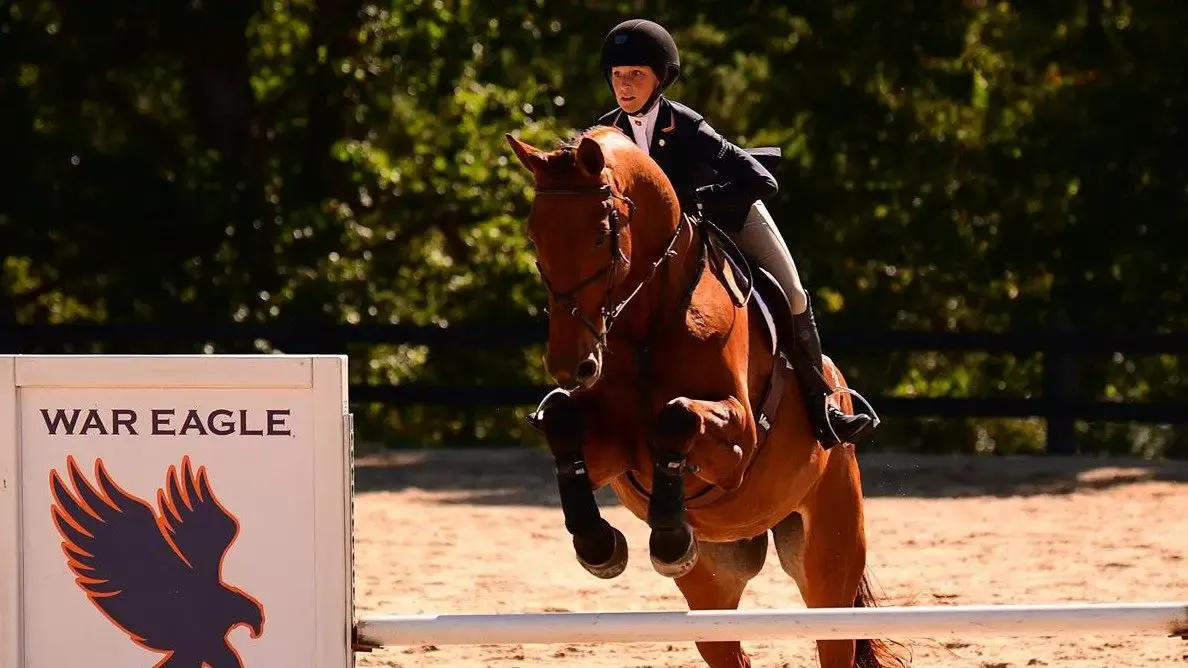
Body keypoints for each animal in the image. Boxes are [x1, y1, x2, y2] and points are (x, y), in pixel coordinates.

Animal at [503, 125, 907, 665]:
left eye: (601, 234)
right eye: (535, 236)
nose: (572, 366)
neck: (647, 322)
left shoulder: (737, 444)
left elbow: (677, 417)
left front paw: (669, 539)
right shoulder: (617, 455)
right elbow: (564, 421)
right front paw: (599, 546)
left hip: (828, 560)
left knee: (833, 629)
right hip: (712, 587)